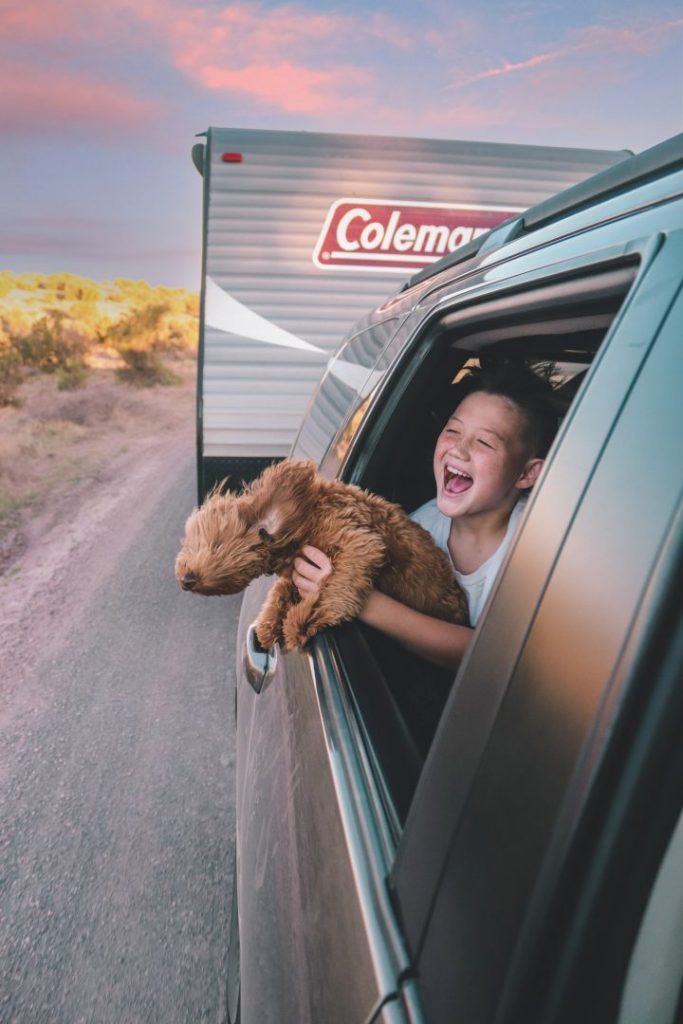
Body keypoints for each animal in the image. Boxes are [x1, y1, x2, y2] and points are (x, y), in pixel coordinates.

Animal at [175, 460, 471, 651]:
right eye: (188, 544)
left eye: (215, 546)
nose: (184, 578)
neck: (301, 521)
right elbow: (281, 591)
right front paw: (269, 623)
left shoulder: (359, 543)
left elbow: (332, 589)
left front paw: (300, 624)